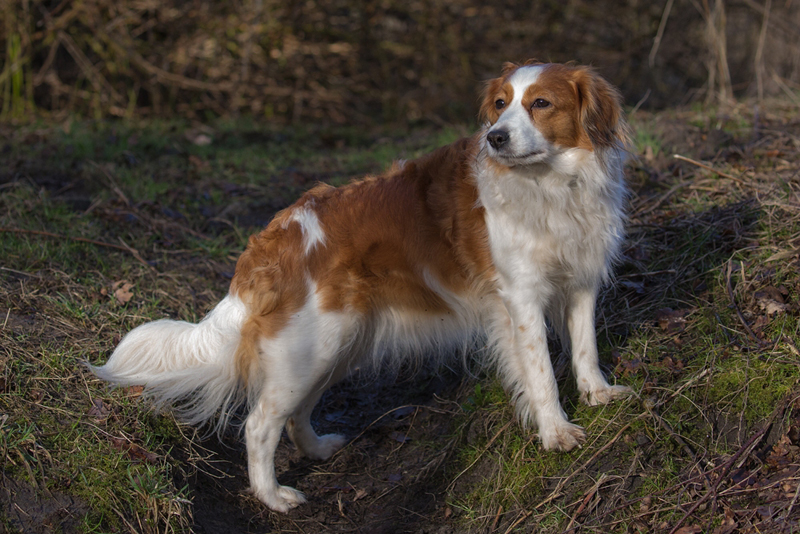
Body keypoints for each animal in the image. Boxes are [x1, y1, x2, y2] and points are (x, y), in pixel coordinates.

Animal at [90, 60, 632, 512]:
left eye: (540, 103)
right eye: (501, 104)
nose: (496, 138)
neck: (550, 185)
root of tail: (275, 235)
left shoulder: (581, 282)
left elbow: (585, 345)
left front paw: (598, 393)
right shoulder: (521, 300)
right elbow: (540, 372)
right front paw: (556, 431)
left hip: (337, 345)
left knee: (295, 411)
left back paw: (317, 449)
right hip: (311, 346)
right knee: (259, 423)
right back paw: (273, 497)